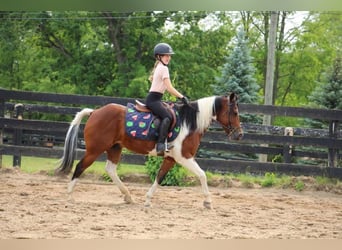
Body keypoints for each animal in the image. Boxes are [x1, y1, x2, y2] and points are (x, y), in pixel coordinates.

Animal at [55, 92, 243, 209]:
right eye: (234, 112)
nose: (239, 134)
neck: (189, 123)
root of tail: (95, 112)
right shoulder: (184, 157)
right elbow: (202, 175)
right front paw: (208, 202)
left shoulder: (171, 159)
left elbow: (159, 177)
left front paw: (147, 200)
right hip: (95, 150)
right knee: (80, 166)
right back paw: (69, 196)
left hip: (115, 148)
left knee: (110, 169)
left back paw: (128, 196)